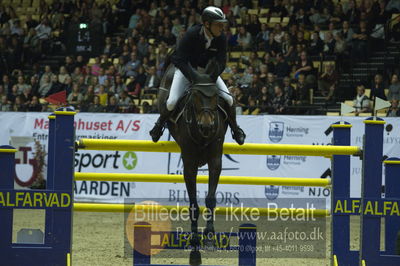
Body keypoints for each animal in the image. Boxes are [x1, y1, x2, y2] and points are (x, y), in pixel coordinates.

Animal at [156, 63, 228, 264]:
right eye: (195, 96)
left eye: (216, 96)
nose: (207, 126)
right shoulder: (189, 163)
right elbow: (194, 204)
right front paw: (195, 241)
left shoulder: (215, 160)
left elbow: (210, 199)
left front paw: (209, 239)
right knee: (167, 105)